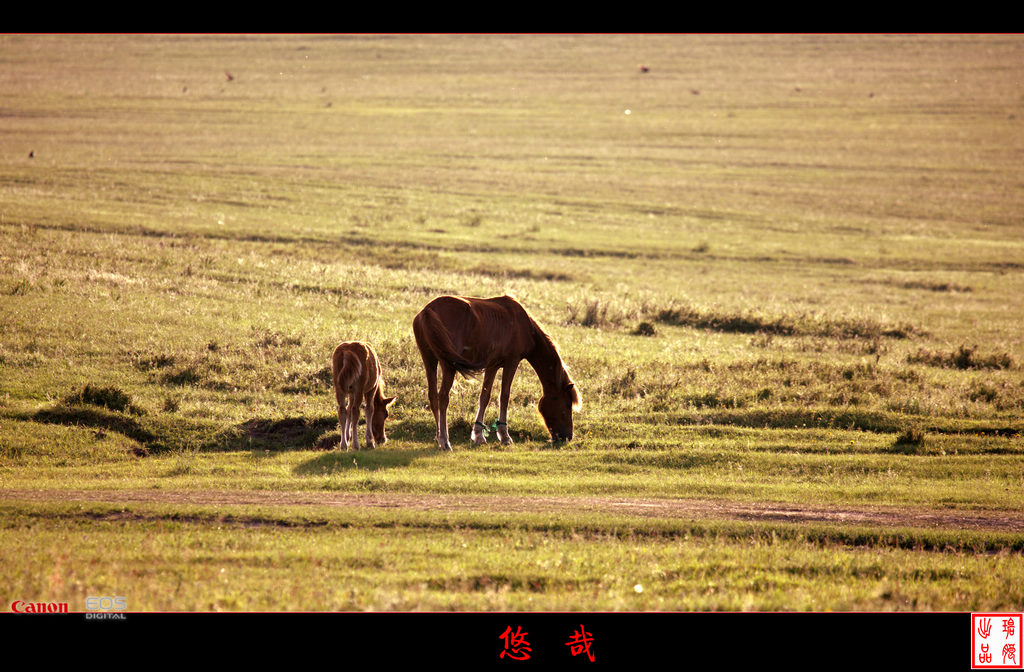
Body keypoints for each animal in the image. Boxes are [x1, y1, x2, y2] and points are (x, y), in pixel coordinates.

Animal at [411, 295, 581, 448]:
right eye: (567, 405)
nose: (568, 436)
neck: (522, 324)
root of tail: (427, 311)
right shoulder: (511, 363)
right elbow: (504, 396)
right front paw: (505, 436)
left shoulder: (492, 366)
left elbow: (484, 397)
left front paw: (478, 435)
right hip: (448, 366)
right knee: (443, 398)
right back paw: (445, 440)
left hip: (429, 360)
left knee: (433, 396)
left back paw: (439, 437)